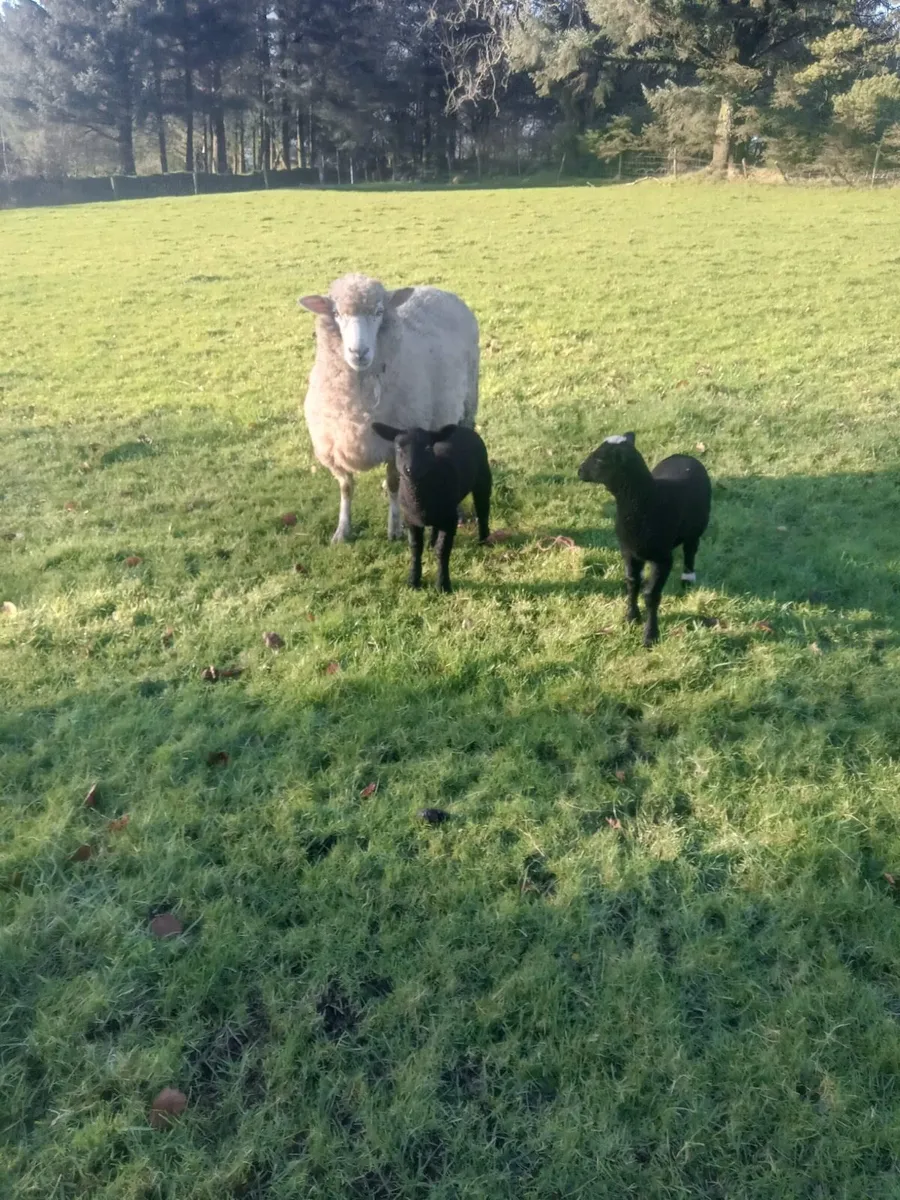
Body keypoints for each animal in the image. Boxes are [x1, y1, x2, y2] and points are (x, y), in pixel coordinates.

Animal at [299, 274, 479, 544]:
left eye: (379, 312)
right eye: (337, 313)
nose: (359, 352)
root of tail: (437, 289)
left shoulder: (396, 443)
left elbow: (394, 484)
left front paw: (394, 528)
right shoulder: (333, 449)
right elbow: (346, 488)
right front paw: (342, 530)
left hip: (469, 402)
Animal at [371, 423, 492, 593]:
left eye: (427, 447)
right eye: (398, 448)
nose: (411, 469)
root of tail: (463, 428)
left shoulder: (450, 520)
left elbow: (442, 550)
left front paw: (442, 585)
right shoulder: (411, 520)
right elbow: (415, 549)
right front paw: (413, 581)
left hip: (483, 477)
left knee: (482, 509)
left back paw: (484, 539)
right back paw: (432, 542)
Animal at [577, 432, 711, 646]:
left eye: (600, 460)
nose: (579, 471)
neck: (646, 500)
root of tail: (685, 456)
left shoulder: (662, 559)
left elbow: (651, 595)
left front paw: (650, 635)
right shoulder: (629, 552)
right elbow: (632, 583)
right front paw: (631, 618)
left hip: (697, 527)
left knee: (690, 550)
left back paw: (688, 578)